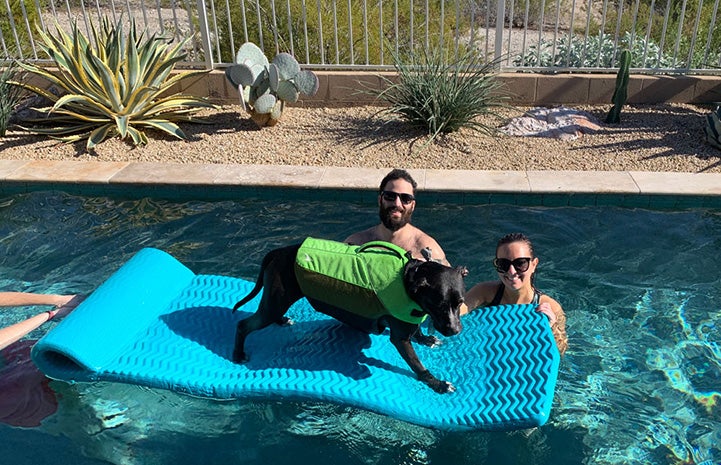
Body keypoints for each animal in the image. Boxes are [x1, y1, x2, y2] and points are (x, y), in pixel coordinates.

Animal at [232, 237, 466, 394]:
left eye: (460, 303)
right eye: (438, 304)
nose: (455, 330)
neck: (409, 278)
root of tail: (279, 251)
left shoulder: (410, 318)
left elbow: (416, 330)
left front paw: (425, 339)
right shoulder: (399, 338)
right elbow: (417, 364)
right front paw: (437, 383)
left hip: (276, 302)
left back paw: (282, 320)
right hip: (275, 302)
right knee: (244, 325)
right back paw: (238, 354)